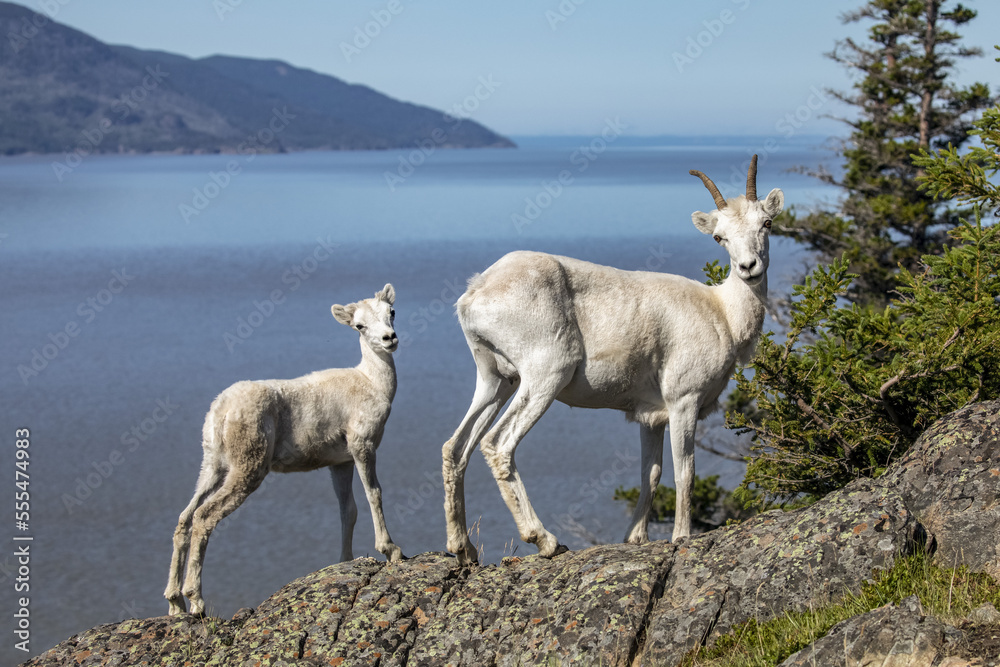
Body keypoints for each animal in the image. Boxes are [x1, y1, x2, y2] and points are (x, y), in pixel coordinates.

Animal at [165, 283, 404, 616]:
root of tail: (220, 411)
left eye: (391, 312)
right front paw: (392, 550)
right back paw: (196, 600)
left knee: (185, 517)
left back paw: (175, 603)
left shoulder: (339, 463)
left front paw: (345, 560)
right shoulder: (362, 446)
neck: (372, 383)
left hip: (213, 467)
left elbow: (348, 510)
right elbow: (374, 495)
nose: (389, 339)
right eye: (359, 325)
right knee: (203, 516)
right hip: (248, 468)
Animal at [441, 156, 783, 564]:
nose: (749, 267)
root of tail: (475, 292)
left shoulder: (652, 418)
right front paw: (681, 536)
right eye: (720, 237)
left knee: (456, 447)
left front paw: (635, 538)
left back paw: (463, 550)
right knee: (498, 445)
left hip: (496, 379)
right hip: (545, 376)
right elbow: (685, 471)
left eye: (766, 223)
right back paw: (545, 540)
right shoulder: (683, 402)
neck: (723, 312)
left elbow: (651, 474)